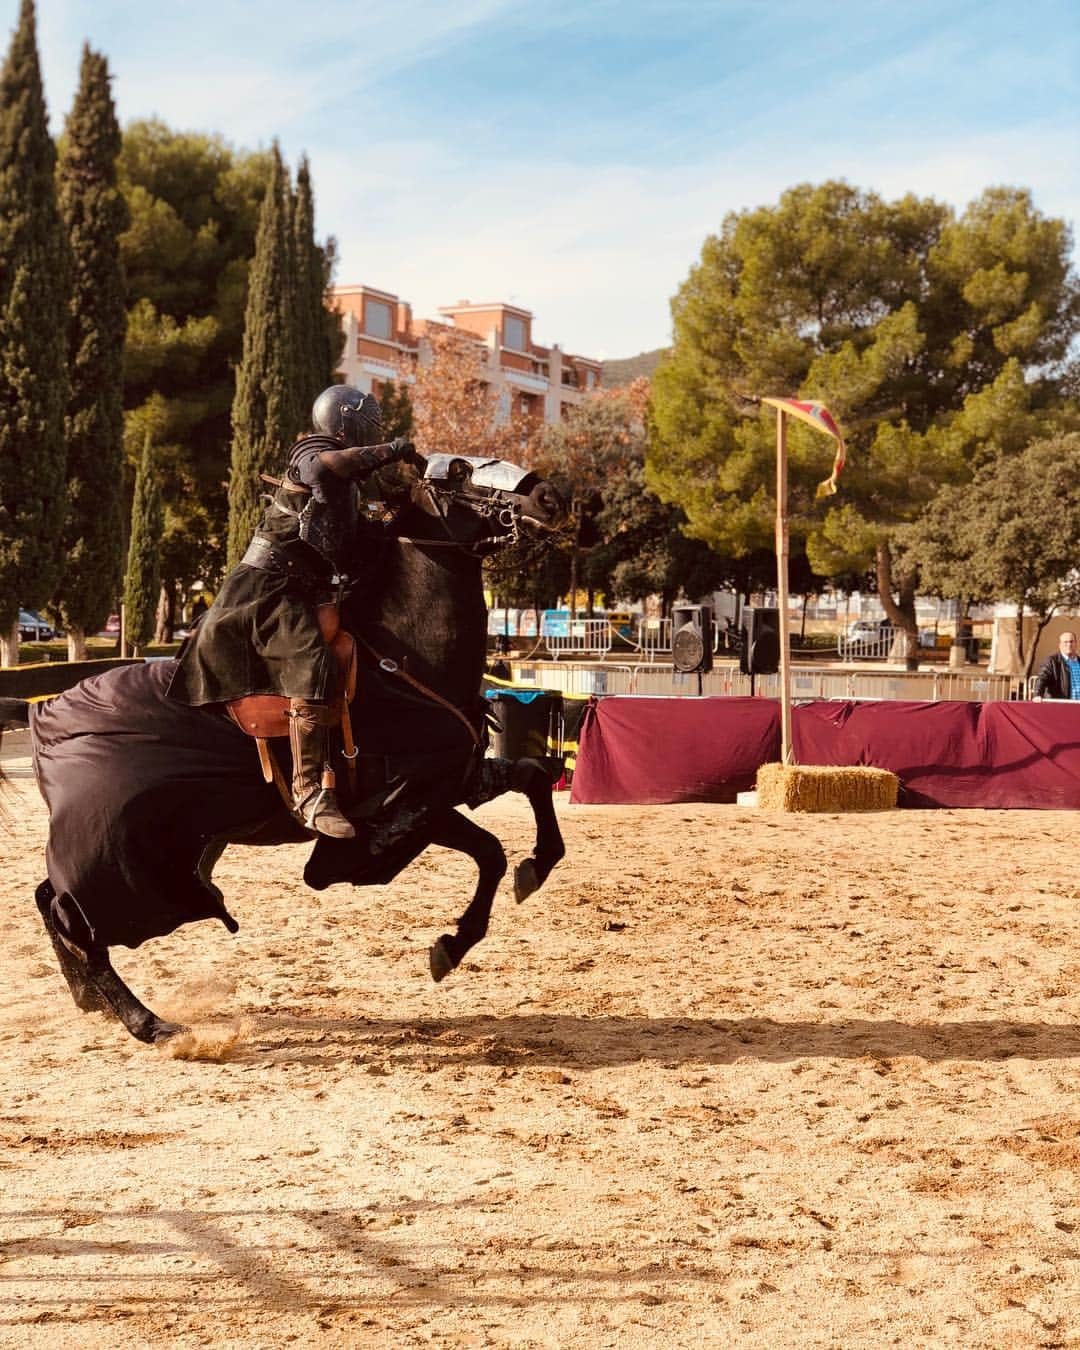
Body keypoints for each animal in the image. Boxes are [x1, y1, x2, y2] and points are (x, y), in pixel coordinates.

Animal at [0, 453, 569, 1042]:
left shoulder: (454, 784)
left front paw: (531, 871)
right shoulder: (404, 809)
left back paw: (88, 996)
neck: (403, 660)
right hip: (115, 856)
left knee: (50, 900)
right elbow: (490, 849)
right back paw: (145, 1022)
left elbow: (530, 782)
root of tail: (44, 709)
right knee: (74, 917)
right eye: (460, 473)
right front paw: (453, 944)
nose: (550, 498)